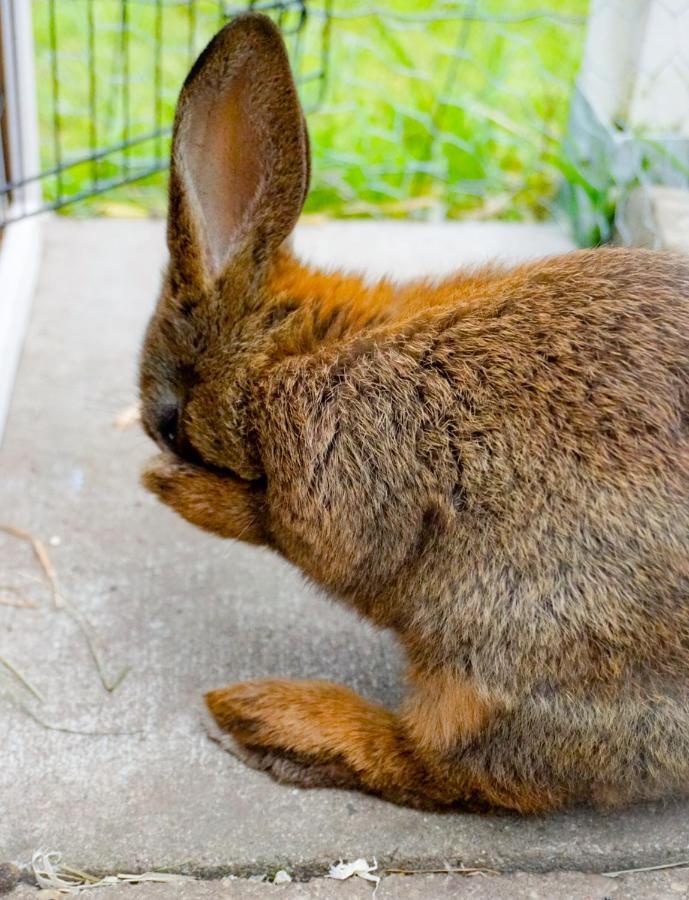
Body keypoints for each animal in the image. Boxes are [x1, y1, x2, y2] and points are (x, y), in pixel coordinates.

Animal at [137, 12, 688, 816]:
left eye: (173, 419)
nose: (154, 439)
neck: (295, 353)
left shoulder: (338, 476)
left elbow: (290, 527)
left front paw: (175, 491)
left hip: (511, 655)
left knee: (439, 766)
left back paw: (264, 717)